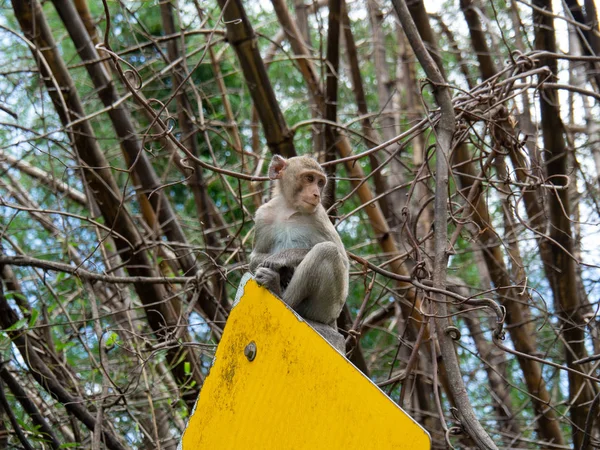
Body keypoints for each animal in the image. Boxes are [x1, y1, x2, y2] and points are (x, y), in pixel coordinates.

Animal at [251, 155, 350, 352]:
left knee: (326, 251)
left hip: (328, 308)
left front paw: (282, 259)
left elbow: (343, 262)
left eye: (320, 182)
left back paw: (279, 292)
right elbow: (253, 258)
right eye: (309, 178)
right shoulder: (262, 215)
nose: (316, 194)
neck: (288, 209)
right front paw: (283, 268)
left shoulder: (319, 215)